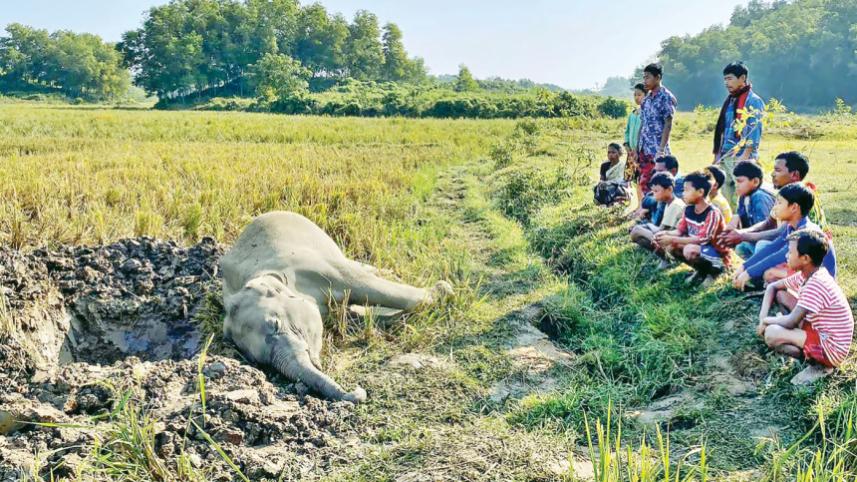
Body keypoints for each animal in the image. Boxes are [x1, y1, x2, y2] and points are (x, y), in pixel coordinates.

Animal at [221, 211, 452, 403]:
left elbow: (362, 285)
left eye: (276, 324)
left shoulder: (311, 265)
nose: (358, 391)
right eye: (258, 361)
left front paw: (443, 291)